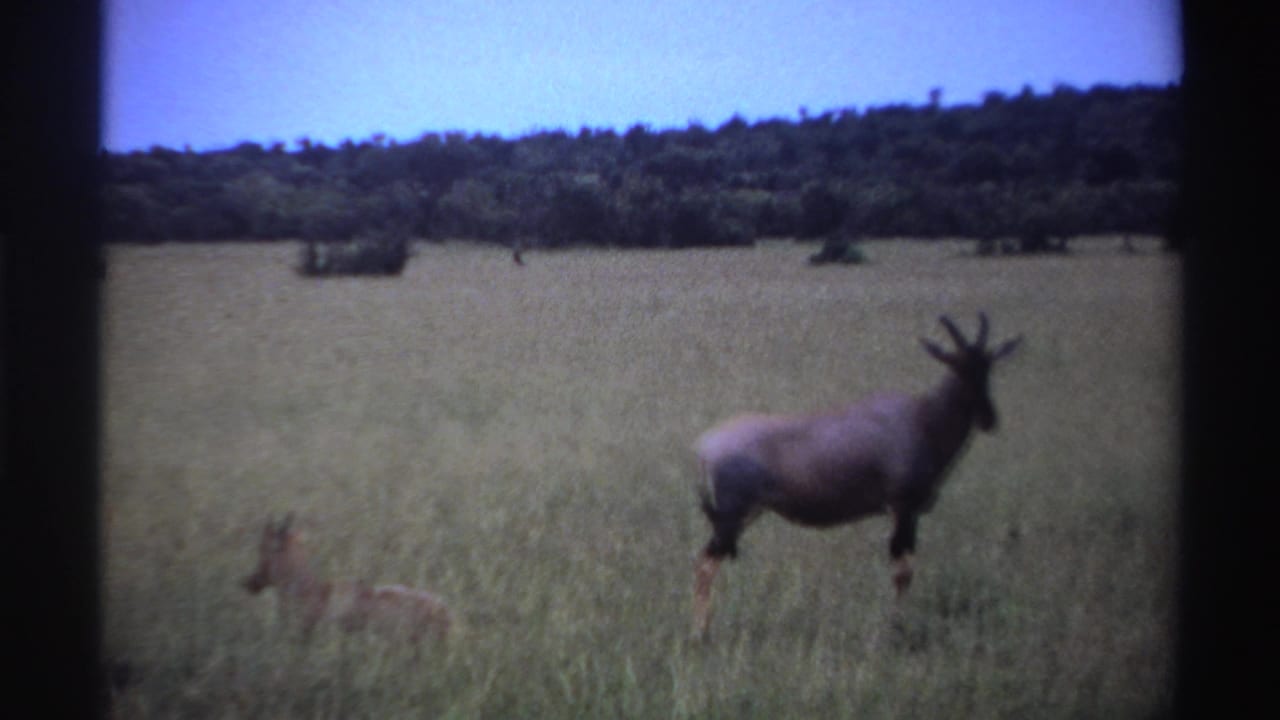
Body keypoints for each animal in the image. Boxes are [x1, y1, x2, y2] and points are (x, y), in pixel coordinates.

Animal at [692, 313, 1021, 640]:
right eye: (955, 365)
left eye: (988, 365)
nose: (989, 419)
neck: (921, 418)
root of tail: (706, 446)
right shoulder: (902, 509)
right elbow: (902, 572)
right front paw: (895, 629)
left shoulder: (909, 513)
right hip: (732, 517)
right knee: (705, 564)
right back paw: (702, 634)